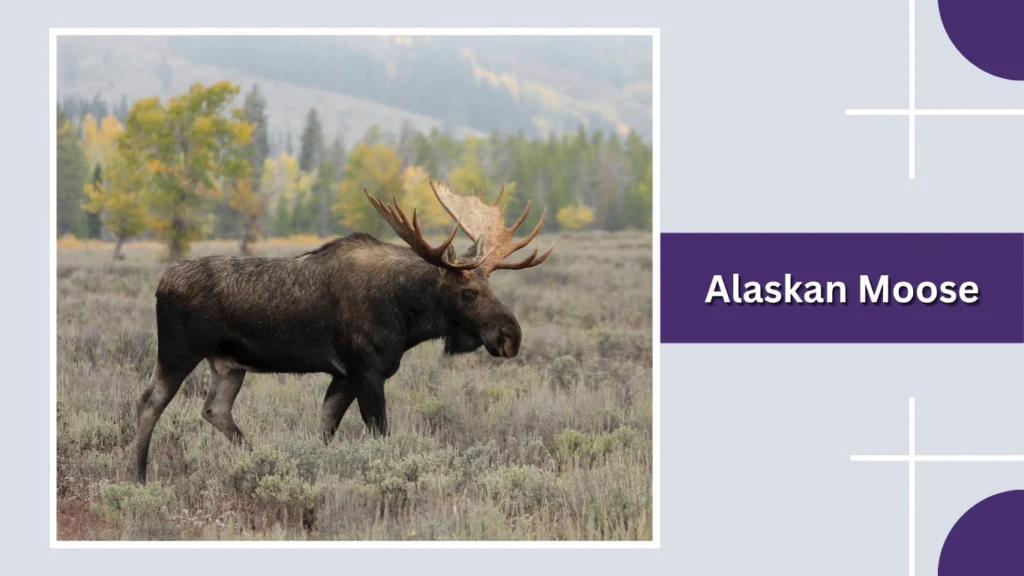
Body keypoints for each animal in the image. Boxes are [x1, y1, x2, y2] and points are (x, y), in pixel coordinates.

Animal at [133, 181, 554, 483]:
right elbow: (379, 433)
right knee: (149, 402)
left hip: (228, 364)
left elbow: (325, 428)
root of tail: (161, 284)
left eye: (490, 285)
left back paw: (252, 454)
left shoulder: (344, 375)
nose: (511, 336)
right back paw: (138, 476)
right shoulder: (367, 370)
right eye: (468, 292)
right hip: (177, 351)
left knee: (215, 409)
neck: (407, 312)